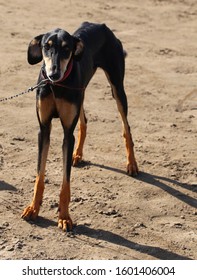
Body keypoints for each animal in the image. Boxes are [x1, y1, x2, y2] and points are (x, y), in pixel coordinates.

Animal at [21, 21, 139, 232]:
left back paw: (131, 164)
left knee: (126, 129)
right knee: (84, 122)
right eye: (46, 47)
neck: (56, 87)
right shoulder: (44, 129)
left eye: (67, 49)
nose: (53, 74)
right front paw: (33, 208)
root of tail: (101, 25)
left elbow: (65, 183)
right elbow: (40, 175)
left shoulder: (67, 134)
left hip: (117, 88)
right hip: (81, 91)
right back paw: (77, 154)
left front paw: (64, 217)